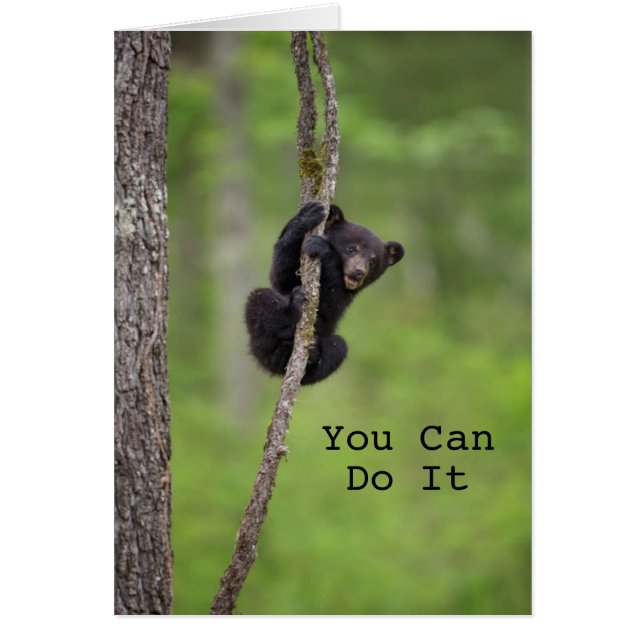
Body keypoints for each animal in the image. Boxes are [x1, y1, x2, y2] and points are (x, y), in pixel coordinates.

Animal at [245, 201, 405, 385]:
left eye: (373, 261)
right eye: (351, 249)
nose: (359, 271)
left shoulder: (345, 297)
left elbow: (329, 307)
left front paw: (323, 248)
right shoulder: (289, 277)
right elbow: (281, 276)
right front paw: (308, 215)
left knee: (339, 347)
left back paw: (312, 355)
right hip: (261, 344)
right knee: (261, 298)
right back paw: (292, 313)